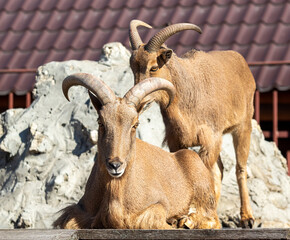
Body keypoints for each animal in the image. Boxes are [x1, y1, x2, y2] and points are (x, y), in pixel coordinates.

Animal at [52, 72, 220, 229]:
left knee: (212, 220)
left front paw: (177, 221)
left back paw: (184, 221)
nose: (115, 165)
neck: (115, 190)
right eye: (101, 122)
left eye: (135, 124)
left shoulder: (157, 205)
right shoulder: (79, 211)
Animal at [128, 20, 255, 227]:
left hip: (243, 126)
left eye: (153, 67)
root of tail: (242, 62)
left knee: (240, 169)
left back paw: (247, 218)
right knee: (219, 171)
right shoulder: (176, 141)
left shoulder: (211, 139)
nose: (139, 102)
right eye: (133, 67)